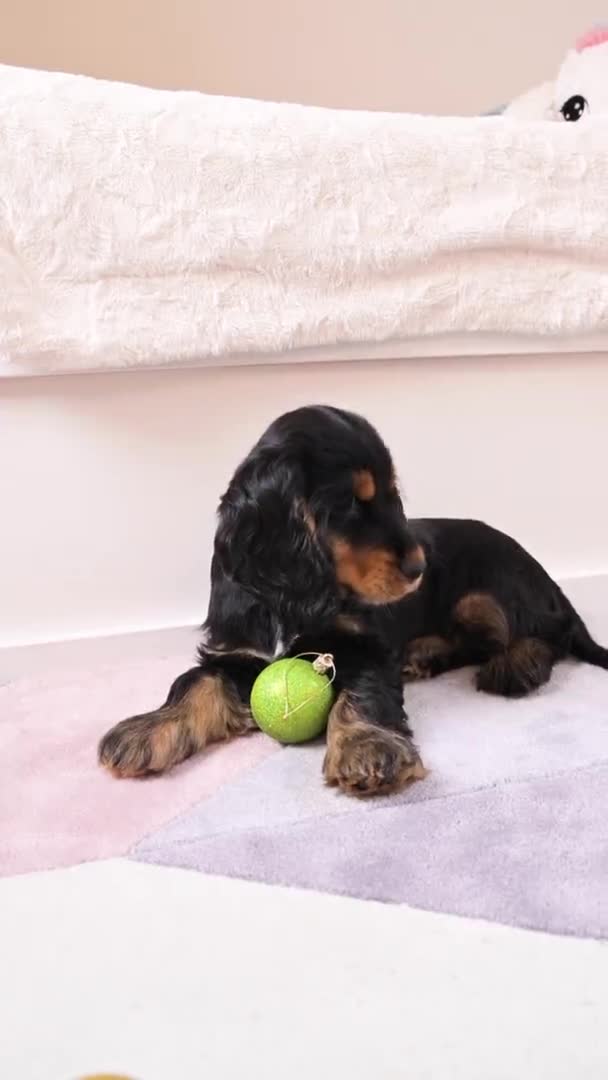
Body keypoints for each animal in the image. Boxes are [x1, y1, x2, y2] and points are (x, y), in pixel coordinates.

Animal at [97, 406, 604, 794]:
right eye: (347, 505)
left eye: (391, 495)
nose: (418, 568)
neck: (294, 597)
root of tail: (548, 580)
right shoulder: (235, 649)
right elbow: (192, 682)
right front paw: (142, 731)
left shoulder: (363, 645)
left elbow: (363, 694)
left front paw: (367, 749)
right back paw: (423, 654)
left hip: (487, 593)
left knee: (541, 635)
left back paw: (513, 666)